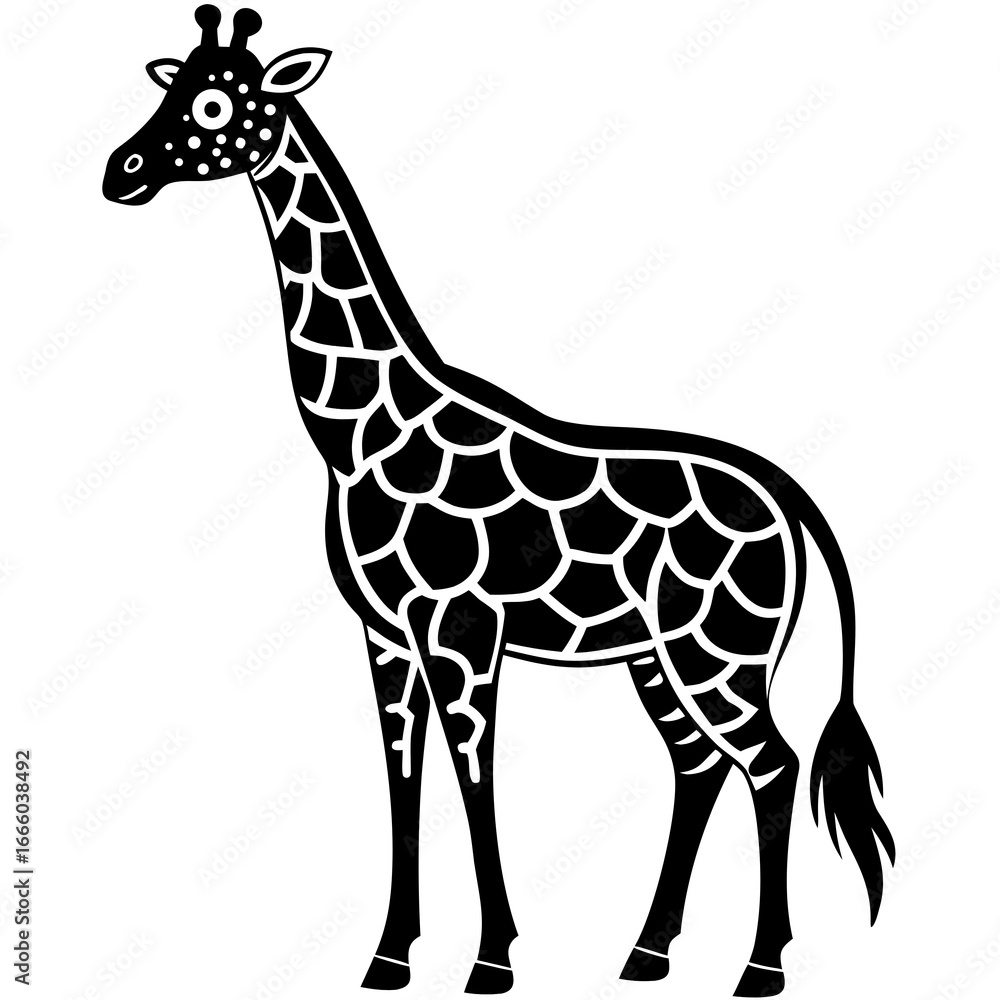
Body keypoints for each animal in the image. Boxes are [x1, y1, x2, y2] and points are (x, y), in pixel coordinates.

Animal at [103, 8, 895, 996]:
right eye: (170, 85)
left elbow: (473, 773)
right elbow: (403, 776)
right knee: (698, 764)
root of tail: (788, 499)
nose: (120, 171)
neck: (360, 431)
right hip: (660, 657)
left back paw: (758, 967)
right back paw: (646, 953)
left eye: (215, 102)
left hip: (721, 652)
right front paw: (389, 956)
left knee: (771, 765)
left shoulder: (462, 628)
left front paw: (491, 959)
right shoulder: (385, 630)